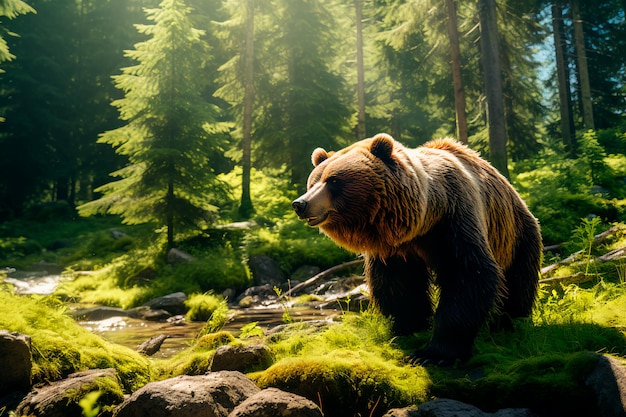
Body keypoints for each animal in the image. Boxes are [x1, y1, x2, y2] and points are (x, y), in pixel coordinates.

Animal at [290, 133, 540, 364]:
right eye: (313, 181)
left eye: (333, 180)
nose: (300, 204)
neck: (421, 220)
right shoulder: (395, 248)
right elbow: (399, 284)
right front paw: (409, 327)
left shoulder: (453, 220)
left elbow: (467, 273)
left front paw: (434, 353)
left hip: (515, 232)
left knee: (517, 279)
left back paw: (511, 321)